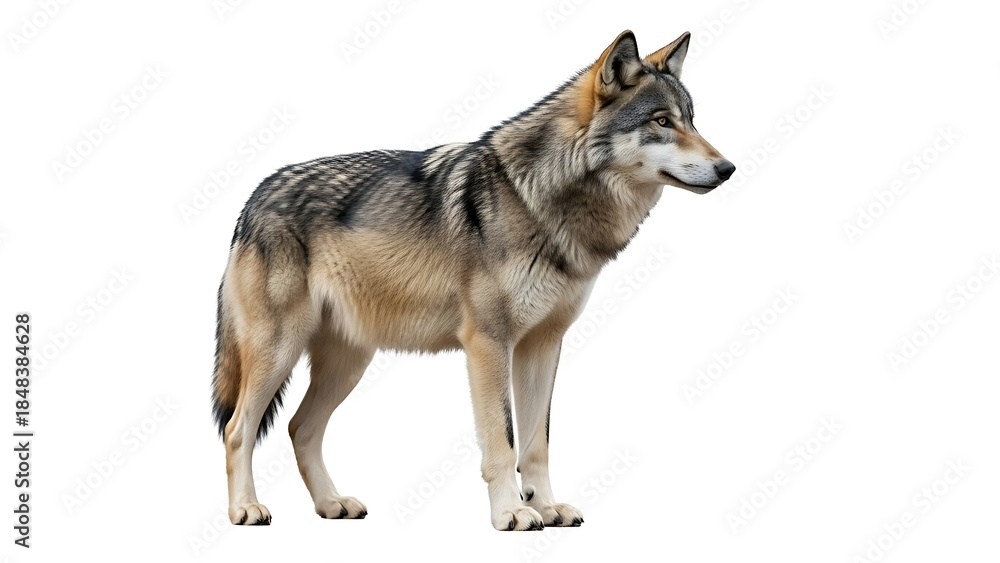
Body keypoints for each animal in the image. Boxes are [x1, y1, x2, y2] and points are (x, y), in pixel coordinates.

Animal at [212, 29, 735, 531]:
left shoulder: (543, 344)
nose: (728, 168)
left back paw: (331, 504)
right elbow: (503, 440)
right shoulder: (488, 343)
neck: (540, 198)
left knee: (300, 428)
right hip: (280, 350)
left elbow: (537, 443)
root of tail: (252, 200)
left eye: (691, 120)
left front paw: (547, 508)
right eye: (661, 122)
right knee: (238, 429)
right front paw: (511, 514)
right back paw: (246, 510)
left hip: (348, 362)